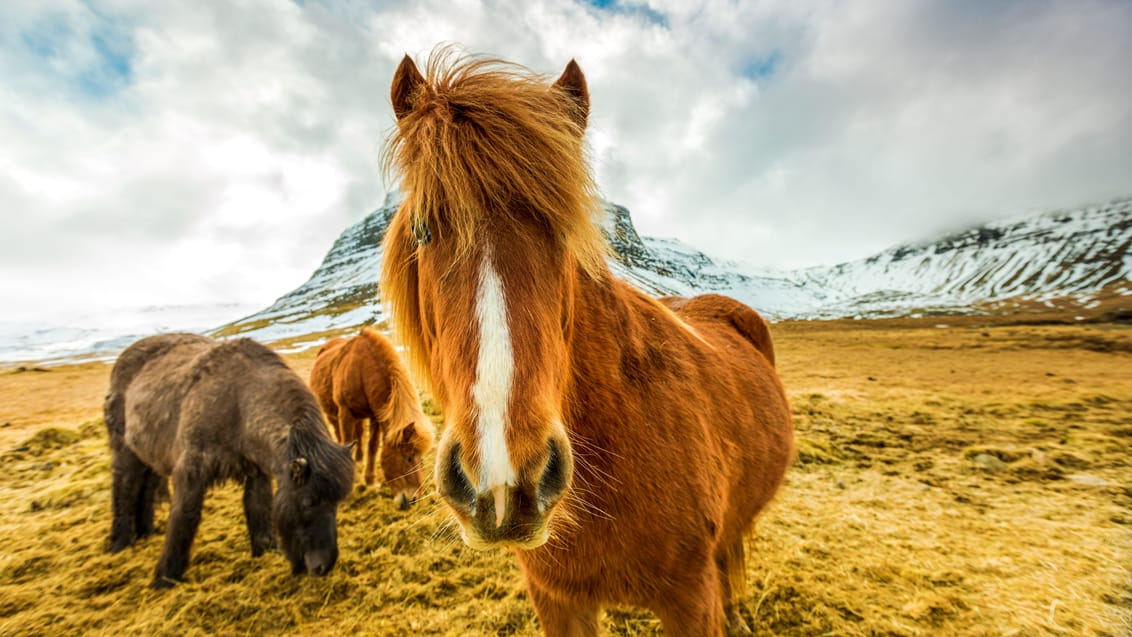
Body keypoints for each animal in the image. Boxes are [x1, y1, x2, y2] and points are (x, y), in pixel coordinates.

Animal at [106, 334, 355, 588]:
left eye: (337, 503)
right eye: (308, 503)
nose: (323, 567)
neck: (237, 403)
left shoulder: (257, 472)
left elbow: (258, 508)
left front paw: (264, 551)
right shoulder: (190, 472)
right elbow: (184, 518)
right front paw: (165, 578)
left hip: (149, 459)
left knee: (144, 491)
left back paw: (146, 532)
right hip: (125, 453)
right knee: (124, 489)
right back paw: (120, 543)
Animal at [307, 328, 434, 509]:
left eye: (421, 460)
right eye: (408, 458)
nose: (412, 500)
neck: (361, 371)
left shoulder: (376, 416)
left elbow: (372, 447)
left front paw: (370, 481)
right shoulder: (345, 412)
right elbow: (347, 443)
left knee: (359, 434)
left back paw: (360, 459)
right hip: (333, 415)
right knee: (338, 433)